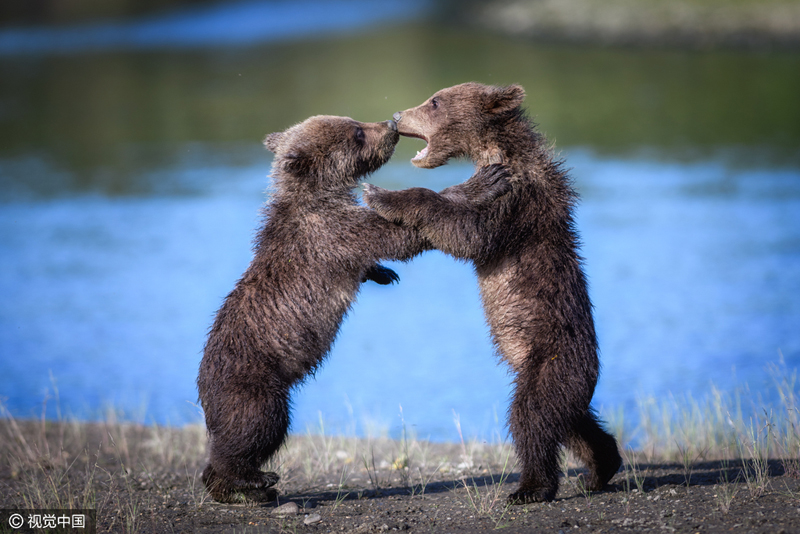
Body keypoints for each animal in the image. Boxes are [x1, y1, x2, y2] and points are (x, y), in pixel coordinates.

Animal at [196, 115, 427, 503]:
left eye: (355, 121)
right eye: (357, 133)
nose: (391, 123)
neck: (319, 195)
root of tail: (203, 388)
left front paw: (384, 273)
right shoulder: (332, 231)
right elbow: (391, 236)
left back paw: (238, 489)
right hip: (253, 383)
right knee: (258, 427)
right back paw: (255, 480)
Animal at [363, 82, 622, 504]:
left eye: (435, 101)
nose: (398, 116)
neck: (496, 151)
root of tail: (591, 366)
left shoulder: (516, 202)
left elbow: (468, 232)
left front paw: (380, 194)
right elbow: (459, 212)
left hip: (549, 359)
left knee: (533, 416)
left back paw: (531, 487)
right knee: (570, 421)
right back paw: (601, 467)